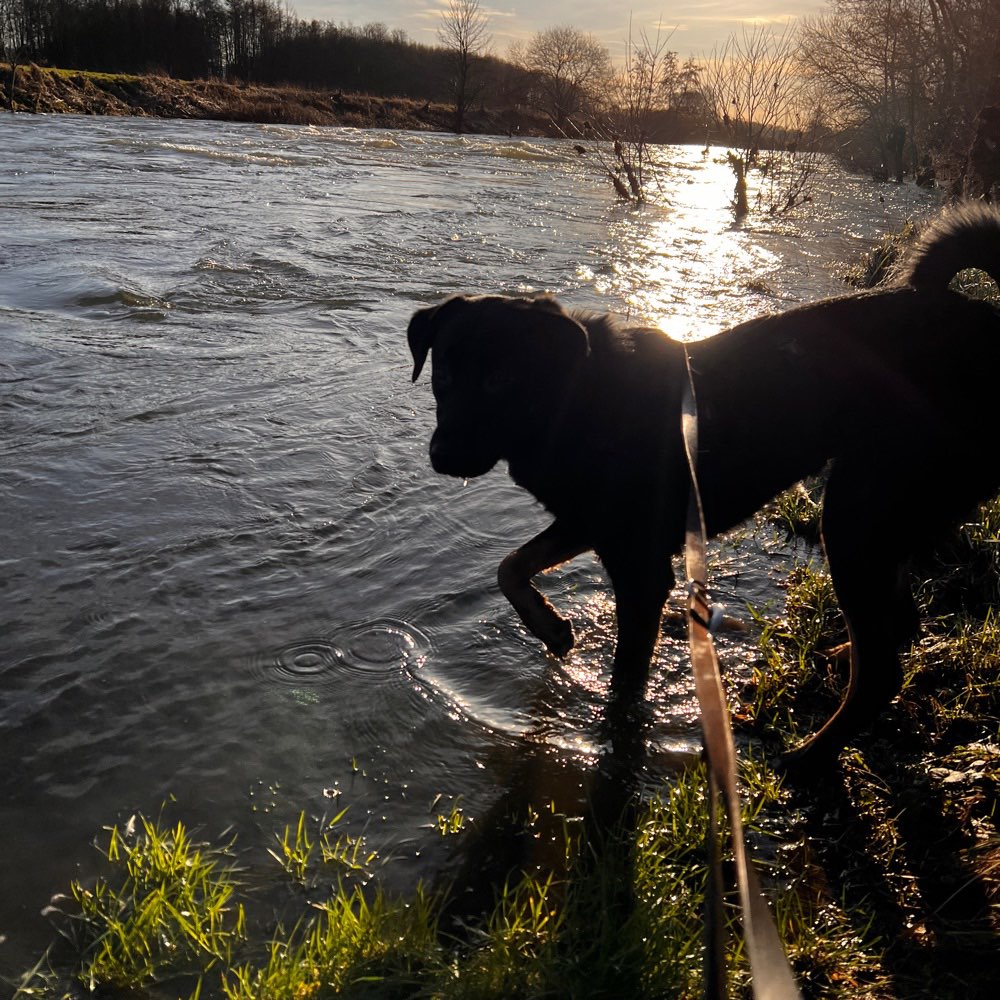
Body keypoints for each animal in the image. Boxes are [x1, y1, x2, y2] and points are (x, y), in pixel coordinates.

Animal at [406, 199, 1000, 768]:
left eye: (500, 379)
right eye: (443, 374)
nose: (441, 457)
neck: (578, 398)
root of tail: (983, 323)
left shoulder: (641, 572)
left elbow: (623, 687)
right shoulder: (592, 525)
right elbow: (511, 566)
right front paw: (549, 626)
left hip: (857, 514)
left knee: (882, 671)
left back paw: (811, 755)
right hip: (884, 518)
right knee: (898, 626)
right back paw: (835, 660)